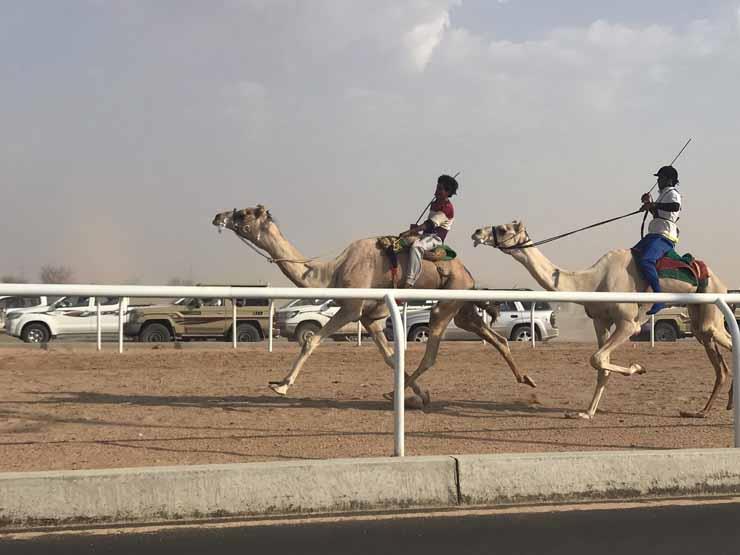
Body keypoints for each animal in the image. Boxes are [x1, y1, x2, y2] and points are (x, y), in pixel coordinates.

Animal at [211, 205, 536, 408]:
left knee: (432, 354)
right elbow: (392, 359)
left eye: (243, 212)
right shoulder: (371, 319)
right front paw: (422, 395)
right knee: (497, 337)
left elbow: (311, 340)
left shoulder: (351, 309)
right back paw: (526, 378)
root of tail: (469, 275)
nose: (218, 216)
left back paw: (392, 392)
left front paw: (281, 384)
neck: (331, 272)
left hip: (445, 304)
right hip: (462, 308)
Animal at [472, 219, 732, 420]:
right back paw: (703, 411)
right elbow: (601, 364)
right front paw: (586, 413)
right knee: (716, 358)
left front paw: (638, 367)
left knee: (721, 338)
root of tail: (719, 280)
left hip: (711, 304)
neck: (593, 281)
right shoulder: (601, 320)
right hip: (698, 315)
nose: (477, 233)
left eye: (503, 229)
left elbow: (597, 358)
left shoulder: (628, 323)